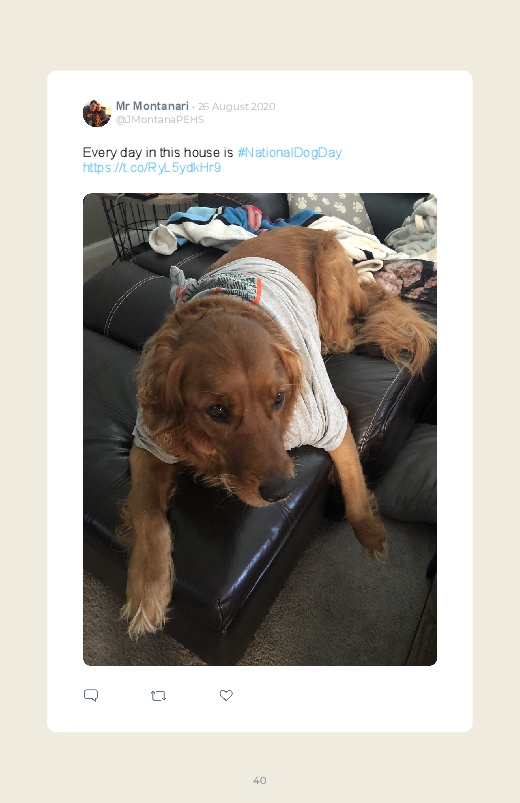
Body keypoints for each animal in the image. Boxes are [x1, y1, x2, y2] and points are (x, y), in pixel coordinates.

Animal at [118, 226, 436, 637]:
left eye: (280, 398)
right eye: (217, 411)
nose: (281, 491)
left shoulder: (332, 419)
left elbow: (354, 484)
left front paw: (370, 533)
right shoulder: (148, 439)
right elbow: (147, 513)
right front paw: (148, 590)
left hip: (331, 290)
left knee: (348, 330)